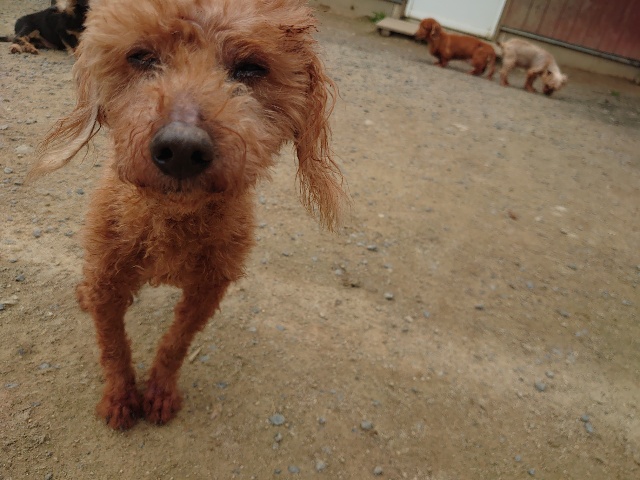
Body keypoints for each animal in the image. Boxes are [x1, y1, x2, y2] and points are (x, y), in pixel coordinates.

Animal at [28, 0, 346, 430]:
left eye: (251, 68)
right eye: (141, 57)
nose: (181, 148)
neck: (171, 220)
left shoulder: (208, 288)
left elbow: (176, 343)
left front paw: (159, 394)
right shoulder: (108, 279)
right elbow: (112, 345)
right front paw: (120, 398)